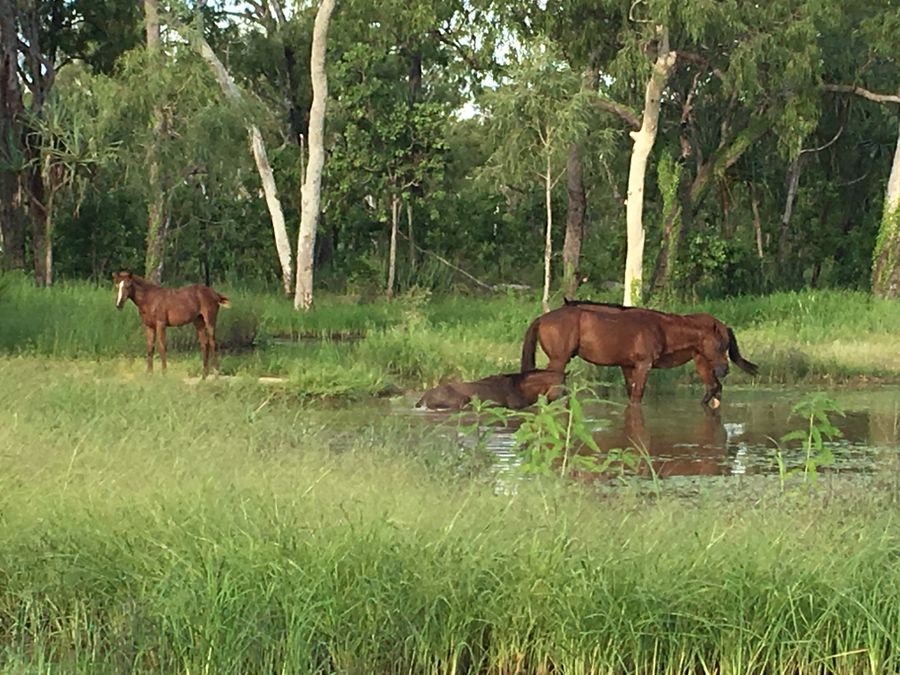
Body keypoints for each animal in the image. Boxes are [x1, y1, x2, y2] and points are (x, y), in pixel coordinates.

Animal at [521, 303, 757, 406]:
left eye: (726, 346)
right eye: (718, 345)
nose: (725, 369)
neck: (662, 329)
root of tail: (542, 318)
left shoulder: (628, 367)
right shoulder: (643, 366)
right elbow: (637, 397)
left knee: (714, 388)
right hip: (558, 361)